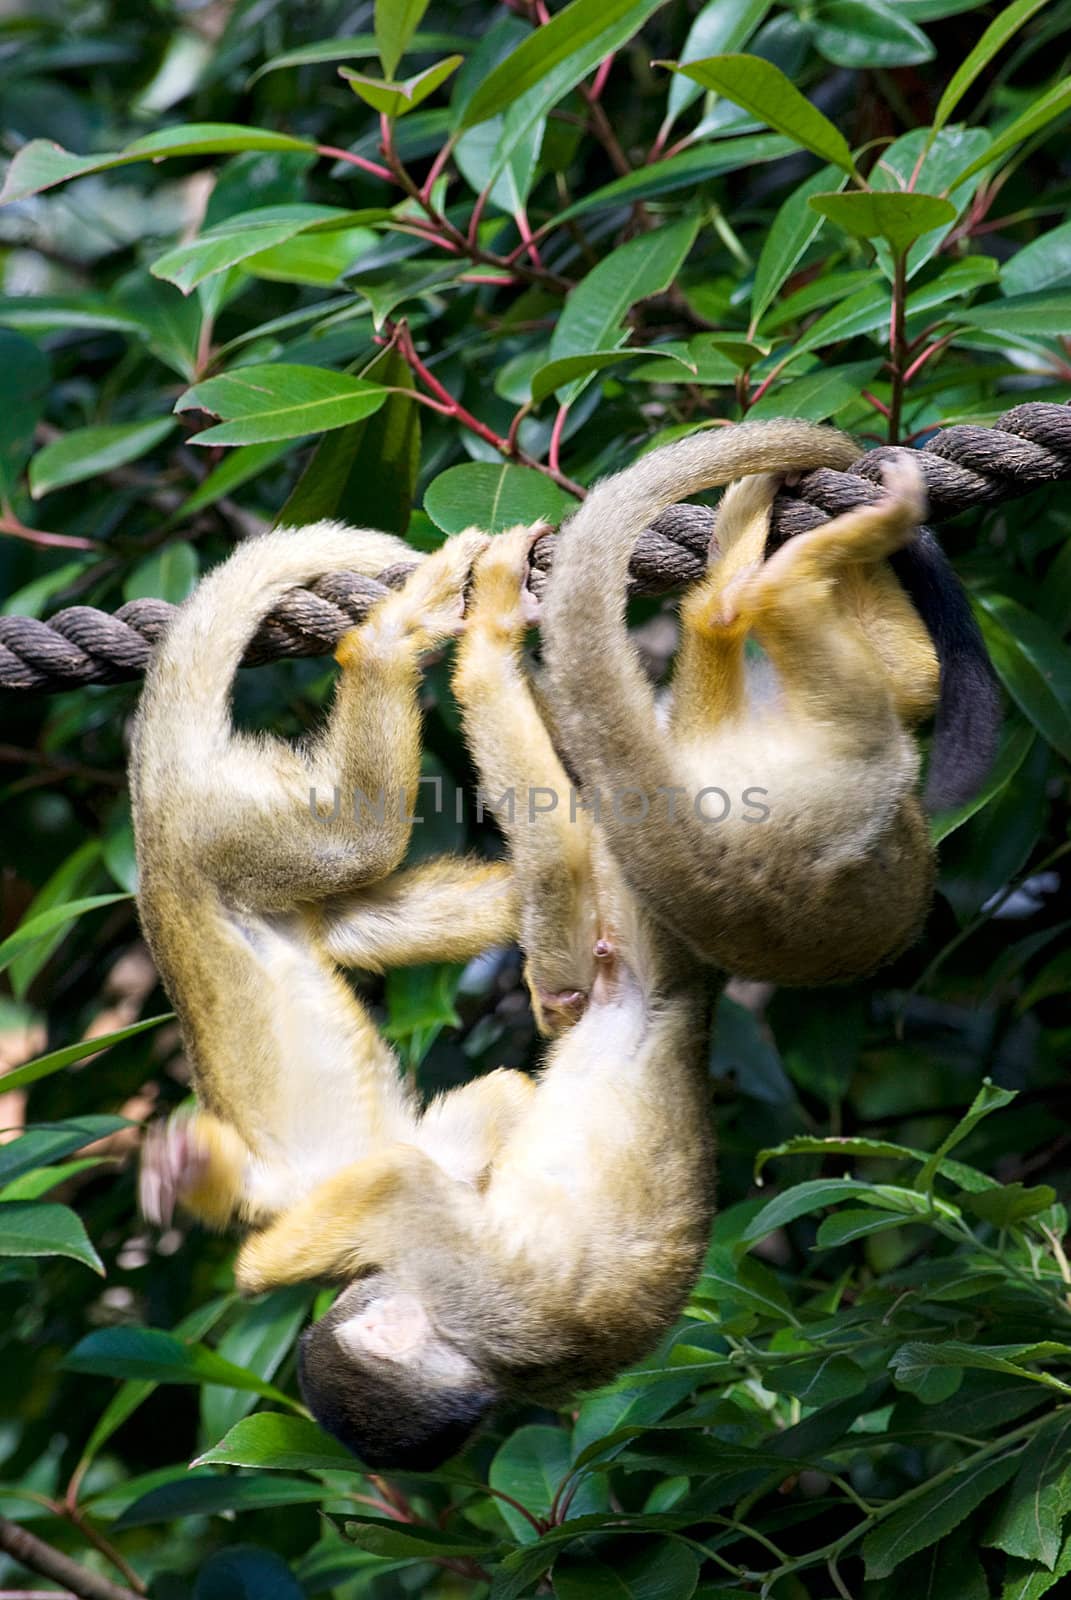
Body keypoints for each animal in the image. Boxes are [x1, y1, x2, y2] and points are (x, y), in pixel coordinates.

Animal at [137, 521, 714, 1465]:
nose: (367, 1285)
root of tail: (154, 837)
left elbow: (440, 1145)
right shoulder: (460, 1273)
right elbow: (395, 1177)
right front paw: (198, 1186)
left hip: (225, 835)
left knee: (344, 889)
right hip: (222, 837)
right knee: (352, 857)